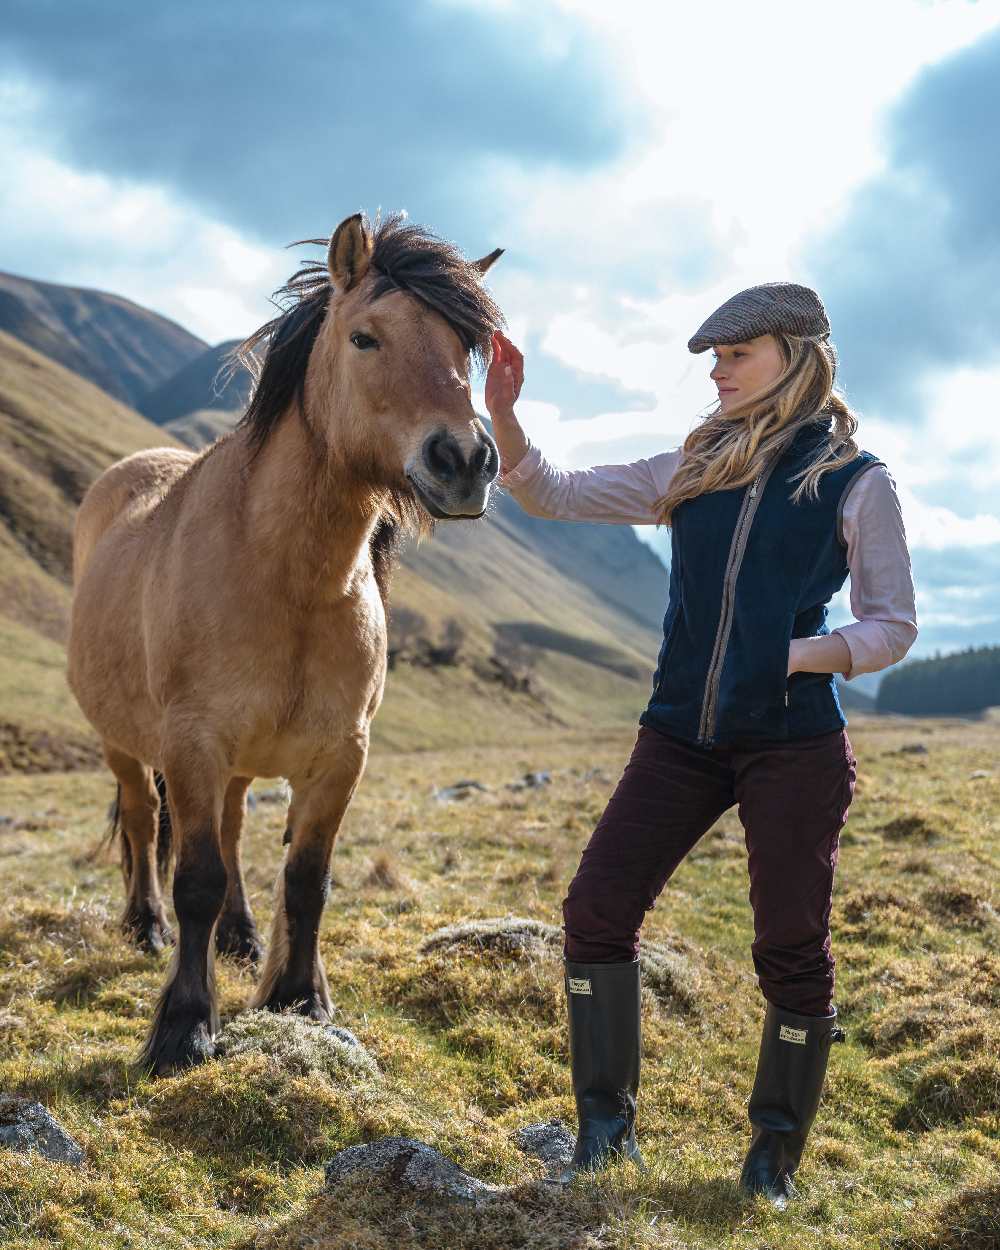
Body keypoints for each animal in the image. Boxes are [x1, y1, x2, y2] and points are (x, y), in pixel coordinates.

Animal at [69, 210, 505, 1070]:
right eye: (366, 338)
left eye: (465, 349)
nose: (466, 460)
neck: (287, 577)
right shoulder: (192, 744)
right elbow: (196, 877)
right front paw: (183, 1025)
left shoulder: (340, 757)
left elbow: (307, 878)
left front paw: (299, 997)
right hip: (125, 744)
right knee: (141, 819)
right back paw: (146, 926)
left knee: (234, 833)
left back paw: (238, 937)